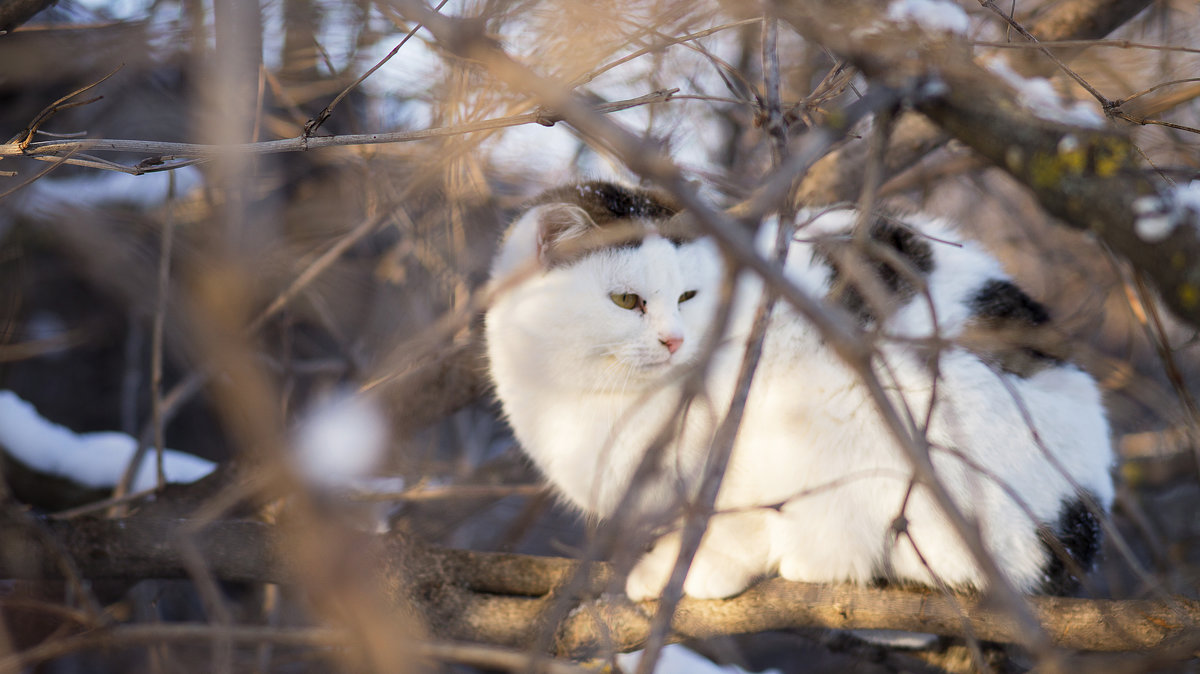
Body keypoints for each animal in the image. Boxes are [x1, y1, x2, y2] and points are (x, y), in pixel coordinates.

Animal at [480, 179, 1113, 597]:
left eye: (688, 296)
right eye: (625, 300)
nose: (676, 341)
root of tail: (1082, 515)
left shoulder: (744, 449)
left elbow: (737, 524)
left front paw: (690, 572)